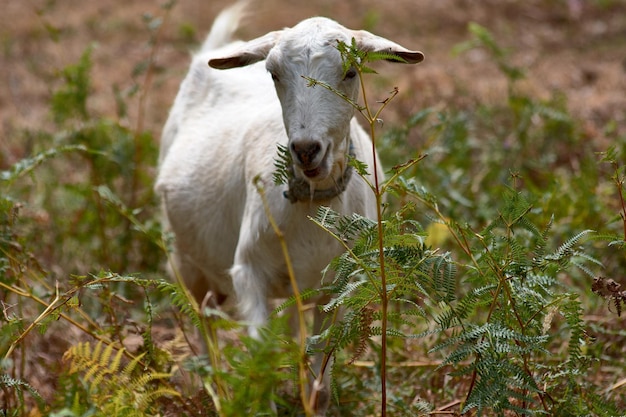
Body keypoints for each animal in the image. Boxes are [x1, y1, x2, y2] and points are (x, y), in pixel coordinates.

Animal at [154, 0, 422, 410]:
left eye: (351, 71)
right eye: (274, 73)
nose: (307, 150)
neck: (313, 204)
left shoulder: (337, 287)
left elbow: (320, 387)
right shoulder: (247, 272)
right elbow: (259, 367)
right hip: (185, 258)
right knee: (204, 317)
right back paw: (215, 390)